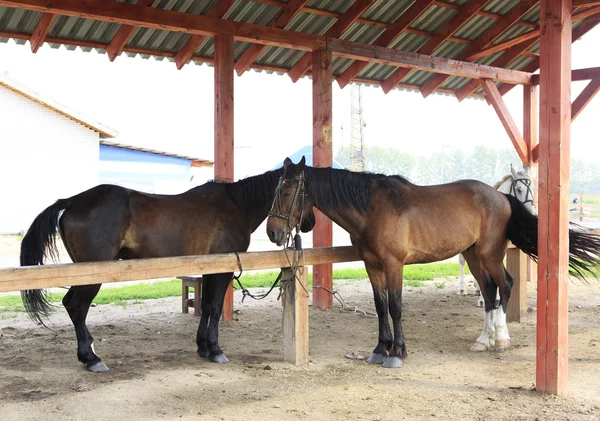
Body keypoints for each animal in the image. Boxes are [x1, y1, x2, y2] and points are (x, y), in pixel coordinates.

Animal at [20, 167, 316, 370]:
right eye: (291, 192)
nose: (309, 223)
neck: (236, 205)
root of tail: (71, 201)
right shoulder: (223, 269)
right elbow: (215, 308)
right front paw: (216, 350)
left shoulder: (208, 268)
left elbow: (205, 306)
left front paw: (203, 347)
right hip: (92, 274)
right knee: (77, 306)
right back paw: (91, 358)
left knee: (72, 304)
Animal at [266, 158, 600, 368]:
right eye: (275, 189)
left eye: (288, 190)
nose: (273, 232)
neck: (372, 208)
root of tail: (502, 198)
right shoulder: (372, 265)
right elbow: (380, 306)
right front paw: (379, 349)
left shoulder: (394, 265)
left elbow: (396, 307)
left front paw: (397, 353)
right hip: (472, 254)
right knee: (489, 290)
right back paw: (483, 339)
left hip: (489, 253)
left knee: (504, 284)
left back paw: (501, 337)